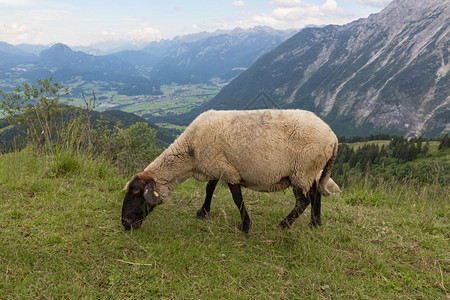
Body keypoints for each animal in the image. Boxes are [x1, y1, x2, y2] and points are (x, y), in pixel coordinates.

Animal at [120, 109, 338, 232]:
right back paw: (315, 223)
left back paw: (283, 225)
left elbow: (237, 199)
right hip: (310, 171)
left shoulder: (229, 171)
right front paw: (202, 212)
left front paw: (246, 226)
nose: (125, 223)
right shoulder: (216, 166)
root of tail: (333, 138)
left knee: (303, 201)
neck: (190, 152)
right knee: (315, 192)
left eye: (136, 193)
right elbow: (209, 189)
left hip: (301, 170)